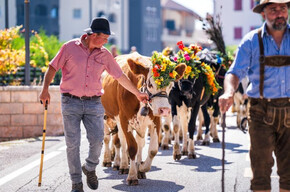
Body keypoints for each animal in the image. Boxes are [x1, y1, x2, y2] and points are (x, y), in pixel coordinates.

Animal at [101, 51, 185, 185]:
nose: (165, 110)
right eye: (150, 84)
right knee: (113, 140)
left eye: (171, 85)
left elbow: (152, 149)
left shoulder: (155, 121)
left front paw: (141, 168)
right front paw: (132, 176)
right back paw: (117, 163)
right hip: (108, 117)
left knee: (139, 142)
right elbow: (131, 147)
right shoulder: (124, 120)